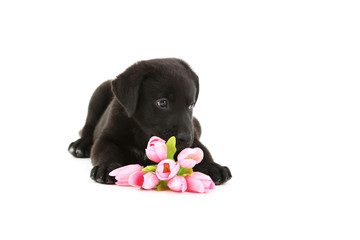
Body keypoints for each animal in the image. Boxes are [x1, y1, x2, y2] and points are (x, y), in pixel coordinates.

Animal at [69, 58, 232, 186]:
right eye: (162, 103)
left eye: (191, 105)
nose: (186, 138)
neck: (143, 135)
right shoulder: (107, 137)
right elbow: (106, 150)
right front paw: (107, 166)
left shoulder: (193, 134)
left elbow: (202, 151)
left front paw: (212, 167)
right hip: (98, 95)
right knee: (88, 126)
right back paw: (80, 145)